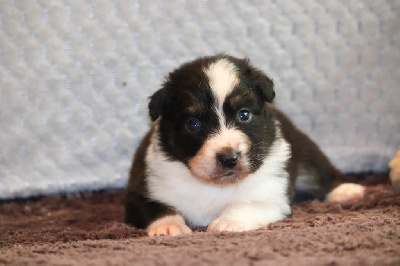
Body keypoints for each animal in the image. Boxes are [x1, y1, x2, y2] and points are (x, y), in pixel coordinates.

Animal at [126, 54, 366, 237]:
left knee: (320, 172)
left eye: (244, 114)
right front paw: (169, 226)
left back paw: (348, 191)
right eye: (193, 124)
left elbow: (247, 204)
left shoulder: (273, 192)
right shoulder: (141, 190)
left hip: (304, 150)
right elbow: (157, 206)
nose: (229, 158)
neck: (215, 185)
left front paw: (227, 222)